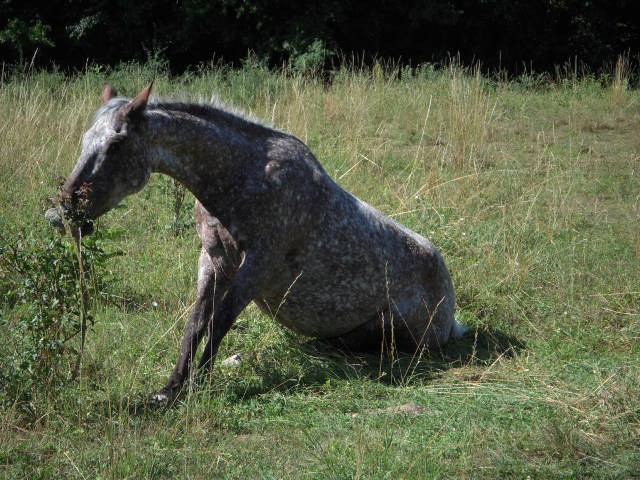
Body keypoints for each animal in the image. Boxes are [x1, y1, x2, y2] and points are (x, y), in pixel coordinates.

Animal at [45, 82, 464, 402]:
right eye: (85, 140)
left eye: (116, 145)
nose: (62, 213)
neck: (243, 176)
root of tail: (452, 318)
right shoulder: (213, 260)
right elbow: (195, 325)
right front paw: (169, 391)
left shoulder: (259, 265)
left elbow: (219, 323)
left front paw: (197, 388)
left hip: (402, 336)